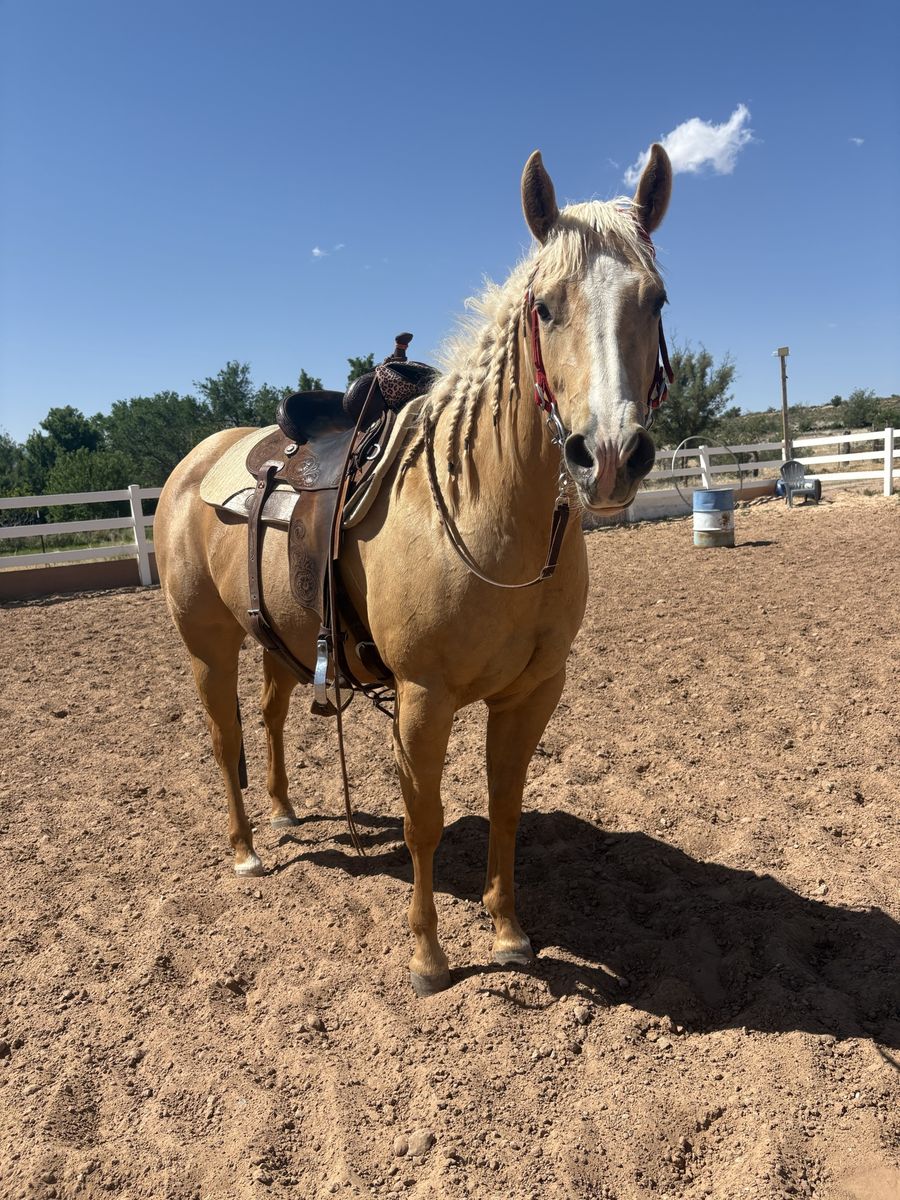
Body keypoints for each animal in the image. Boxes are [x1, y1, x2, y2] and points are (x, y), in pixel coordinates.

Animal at [154, 145, 673, 996]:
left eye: (655, 299)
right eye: (545, 308)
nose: (607, 457)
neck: (481, 510)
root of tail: (191, 465)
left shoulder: (532, 692)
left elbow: (505, 807)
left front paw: (509, 934)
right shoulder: (424, 698)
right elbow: (422, 819)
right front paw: (429, 957)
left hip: (276, 637)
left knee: (266, 718)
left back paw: (285, 811)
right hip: (207, 643)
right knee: (224, 737)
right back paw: (247, 849)